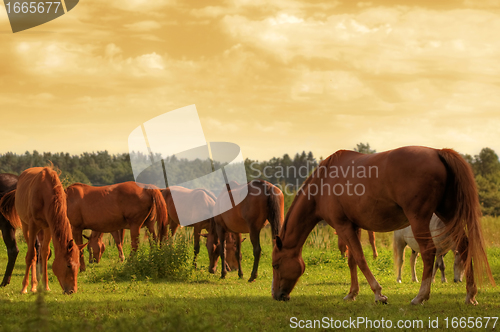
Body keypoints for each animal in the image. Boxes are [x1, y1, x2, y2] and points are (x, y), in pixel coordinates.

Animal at [272, 147, 494, 304]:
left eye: (275, 264)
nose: (276, 295)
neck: (324, 181)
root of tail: (438, 152)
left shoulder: (343, 226)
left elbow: (360, 259)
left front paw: (378, 294)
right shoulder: (353, 226)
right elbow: (352, 261)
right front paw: (352, 293)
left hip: (420, 220)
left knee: (429, 253)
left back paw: (420, 296)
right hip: (448, 215)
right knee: (464, 246)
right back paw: (470, 295)